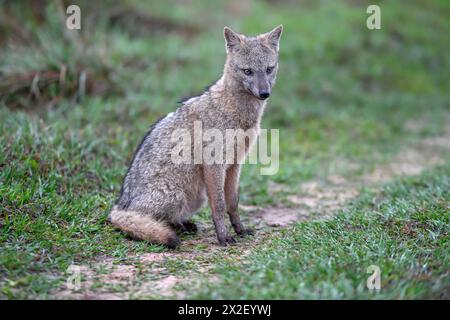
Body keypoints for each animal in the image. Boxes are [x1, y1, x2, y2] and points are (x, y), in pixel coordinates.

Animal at [108, 26, 282, 249]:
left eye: (269, 69)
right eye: (248, 71)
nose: (264, 93)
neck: (237, 113)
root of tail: (120, 205)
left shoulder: (235, 165)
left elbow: (233, 203)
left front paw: (240, 230)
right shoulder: (214, 165)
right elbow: (219, 205)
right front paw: (223, 237)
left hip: (196, 197)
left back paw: (185, 225)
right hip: (178, 195)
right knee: (149, 220)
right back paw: (175, 229)